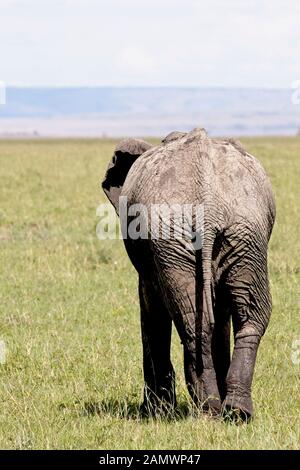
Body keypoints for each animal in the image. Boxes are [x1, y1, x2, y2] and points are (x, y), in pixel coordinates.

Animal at [102, 126, 276, 420]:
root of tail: (209, 203)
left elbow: (150, 309)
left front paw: (155, 412)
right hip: (242, 232)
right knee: (247, 315)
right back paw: (234, 410)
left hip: (191, 236)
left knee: (194, 320)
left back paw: (211, 409)